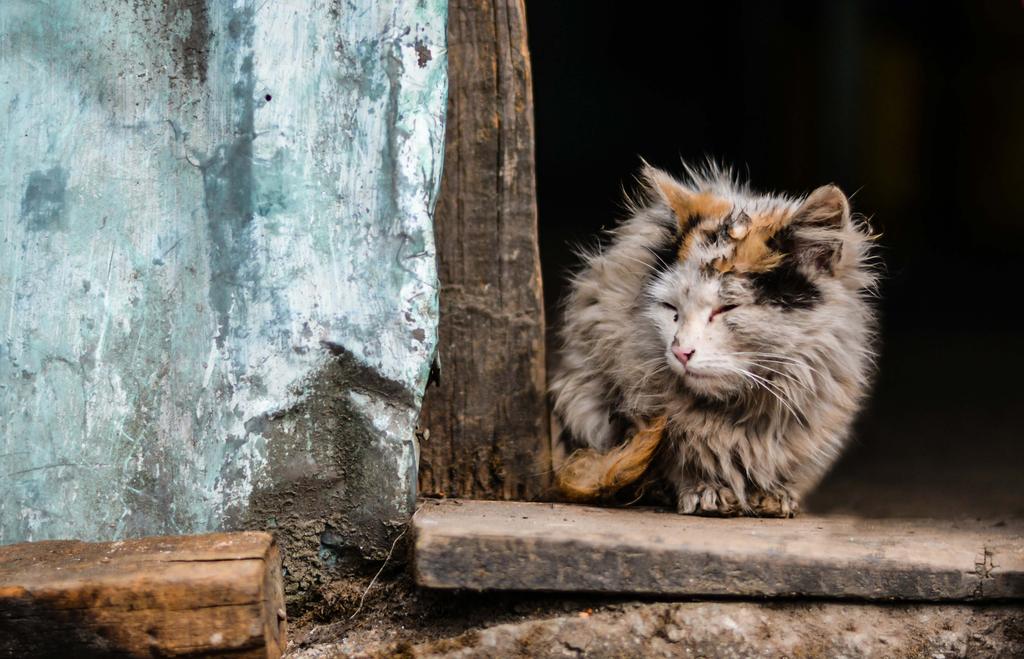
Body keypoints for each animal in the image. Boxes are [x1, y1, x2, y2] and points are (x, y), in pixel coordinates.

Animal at [552, 161, 880, 517]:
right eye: (671, 309)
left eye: (726, 308)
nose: (681, 351)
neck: (740, 411)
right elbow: (674, 457)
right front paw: (704, 490)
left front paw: (773, 495)